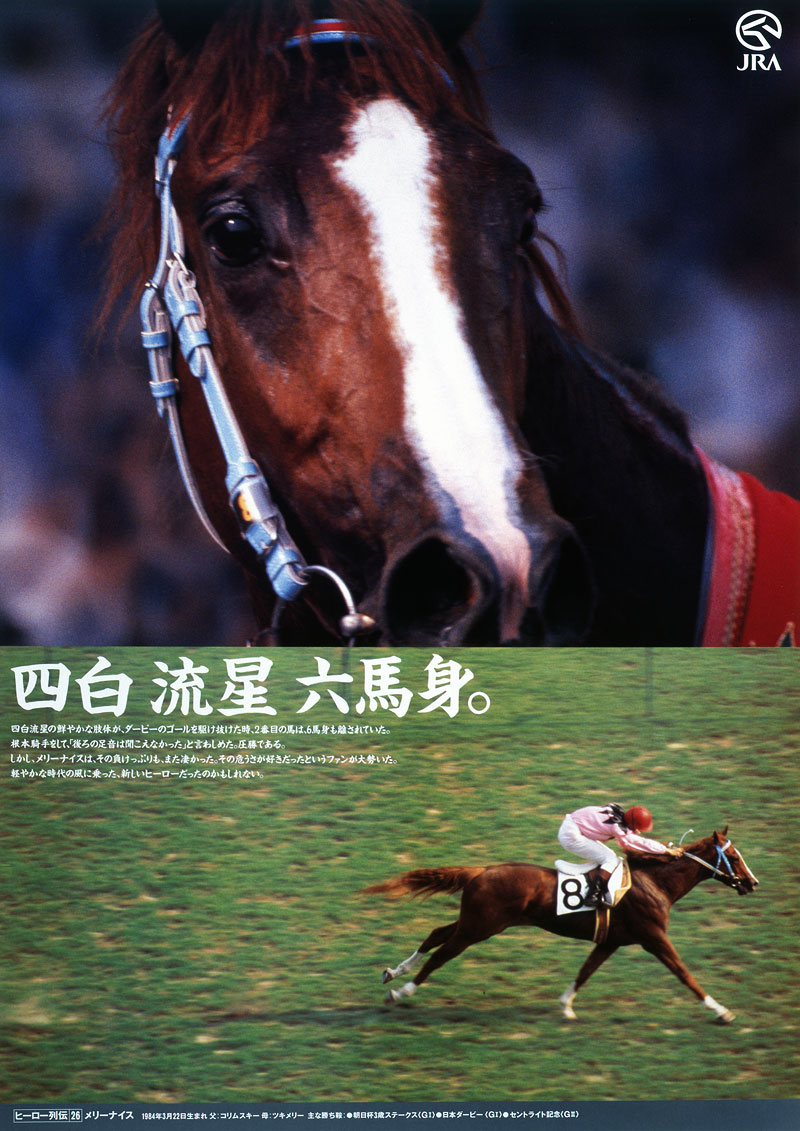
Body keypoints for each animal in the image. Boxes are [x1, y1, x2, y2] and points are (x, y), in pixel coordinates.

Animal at [365, 829, 758, 1023]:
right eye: (734, 856)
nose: (753, 883)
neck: (655, 883)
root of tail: (482, 870)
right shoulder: (654, 937)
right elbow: (685, 974)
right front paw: (721, 1010)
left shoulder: (611, 941)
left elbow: (585, 971)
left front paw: (566, 1005)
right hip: (480, 927)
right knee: (441, 954)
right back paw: (400, 992)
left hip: (476, 921)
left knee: (436, 935)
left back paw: (392, 973)